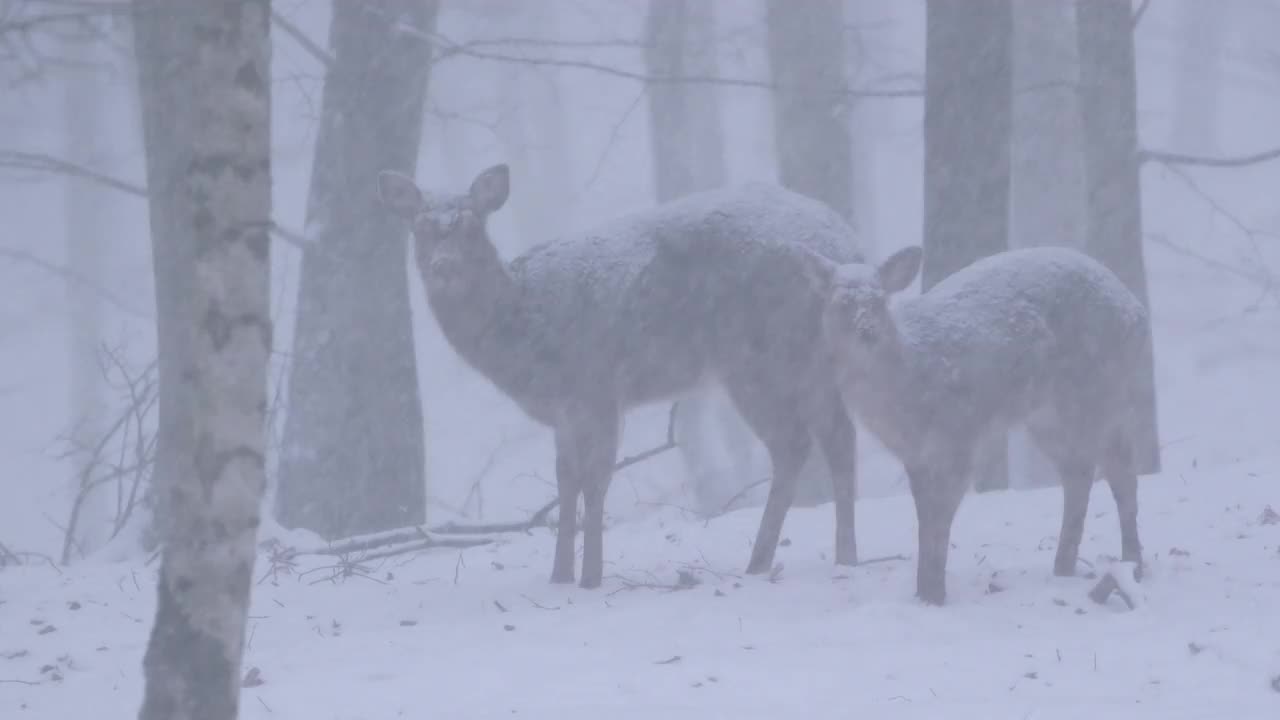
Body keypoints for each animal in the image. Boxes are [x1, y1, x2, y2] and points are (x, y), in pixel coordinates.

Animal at [373, 163, 865, 589]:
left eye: (473, 228)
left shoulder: (598, 386)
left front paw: (590, 579)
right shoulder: (565, 411)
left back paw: (791, 559)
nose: (444, 266)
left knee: (802, 441)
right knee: (828, 438)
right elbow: (566, 479)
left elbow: (595, 481)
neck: (526, 326)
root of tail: (847, 248)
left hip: (762, 357)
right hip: (798, 360)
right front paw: (560, 577)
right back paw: (822, 558)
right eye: (419, 229)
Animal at [819, 243, 1152, 602]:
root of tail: (1136, 309)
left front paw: (935, 594)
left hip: (1102, 392)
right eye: (841, 303)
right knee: (1079, 472)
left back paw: (1132, 566)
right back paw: (1064, 567)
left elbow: (940, 518)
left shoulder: (960, 434)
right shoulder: (915, 454)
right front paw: (923, 591)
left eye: (879, 301)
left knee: (1121, 472)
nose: (868, 331)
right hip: (1047, 416)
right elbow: (925, 517)